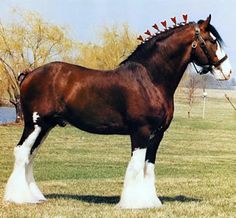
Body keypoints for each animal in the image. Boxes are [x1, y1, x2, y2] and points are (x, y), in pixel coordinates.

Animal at [3, 14, 232, 209]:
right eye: (211, 41)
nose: (227, 72)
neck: (150, 79)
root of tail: (30, 73)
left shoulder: (157, 134)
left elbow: (149, 166)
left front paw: (150, 202)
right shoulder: (140, 131)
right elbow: (136, 166)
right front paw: (134, 203)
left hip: (45, 126)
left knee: (30, 155)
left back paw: (34, 196)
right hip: (34, 124)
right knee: (22, 152)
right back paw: (19, 198)